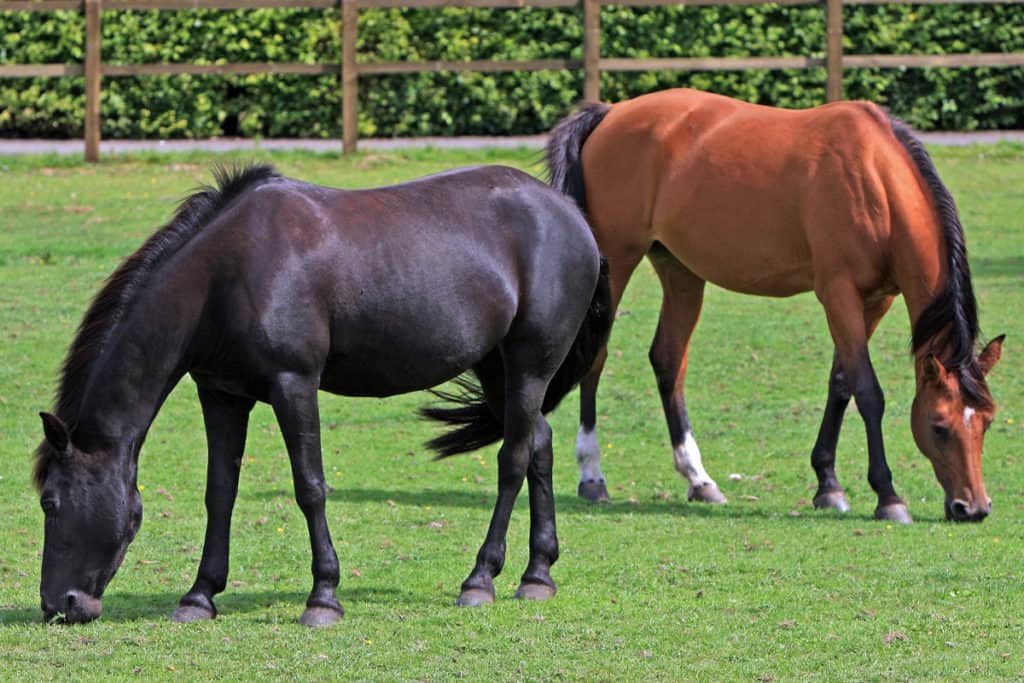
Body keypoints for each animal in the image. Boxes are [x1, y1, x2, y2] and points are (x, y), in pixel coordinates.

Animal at [33, 163, 612, 626]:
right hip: (497, 370)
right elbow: (220, 492)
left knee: (512, 460)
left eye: (50, 501)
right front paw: (199, 597)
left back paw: (481, 579)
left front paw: (324, 598)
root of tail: (570, 214)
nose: (59, 605)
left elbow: (310, 487)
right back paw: (537, 574)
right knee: (538, 445)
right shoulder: (222, 395)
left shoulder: (294, 384)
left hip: (529, 366)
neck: (225, 274)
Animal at [546, 88, 1004, 524]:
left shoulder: (876, 300)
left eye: (987, 420)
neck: (875, 180)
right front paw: (887, 496)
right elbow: (867, 390)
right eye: (939, 426)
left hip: (680, 270)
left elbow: (841, 383)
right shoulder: (838, 293)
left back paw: (699, 479)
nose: (973, 507)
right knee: (598, 358)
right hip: (618, 260)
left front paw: (828, 485)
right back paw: (593, 476)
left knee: (669, 360)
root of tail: (611, 113)